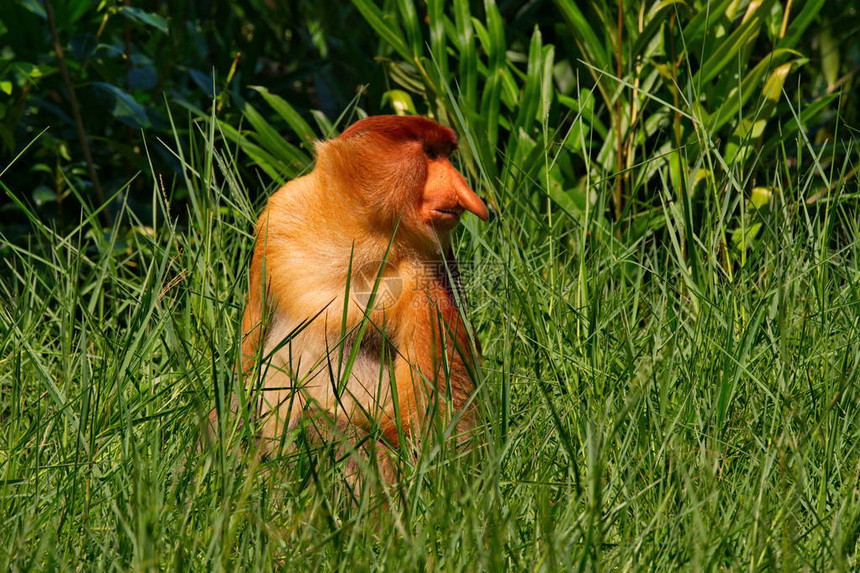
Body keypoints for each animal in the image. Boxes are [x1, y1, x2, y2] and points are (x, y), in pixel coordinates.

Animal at [218, 114, 488, 472]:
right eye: (430, 153)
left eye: (445, 154)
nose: (465, 194)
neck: (354, 240)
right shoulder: (277, 216)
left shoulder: (425, 282)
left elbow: (445, 432)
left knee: (321, 425)